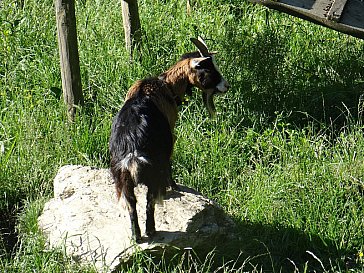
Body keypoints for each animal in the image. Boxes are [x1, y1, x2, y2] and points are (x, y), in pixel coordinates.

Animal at [109, 37, 230, 241]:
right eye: (208, 69)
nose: (226, 86)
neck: (166, 86)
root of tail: (133, 150)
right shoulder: (170, 136)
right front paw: (173, 185)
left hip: (122, 175)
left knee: (131, 203)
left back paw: (136, 236)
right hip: (152, 168)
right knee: (150, 200)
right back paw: (151, 230)